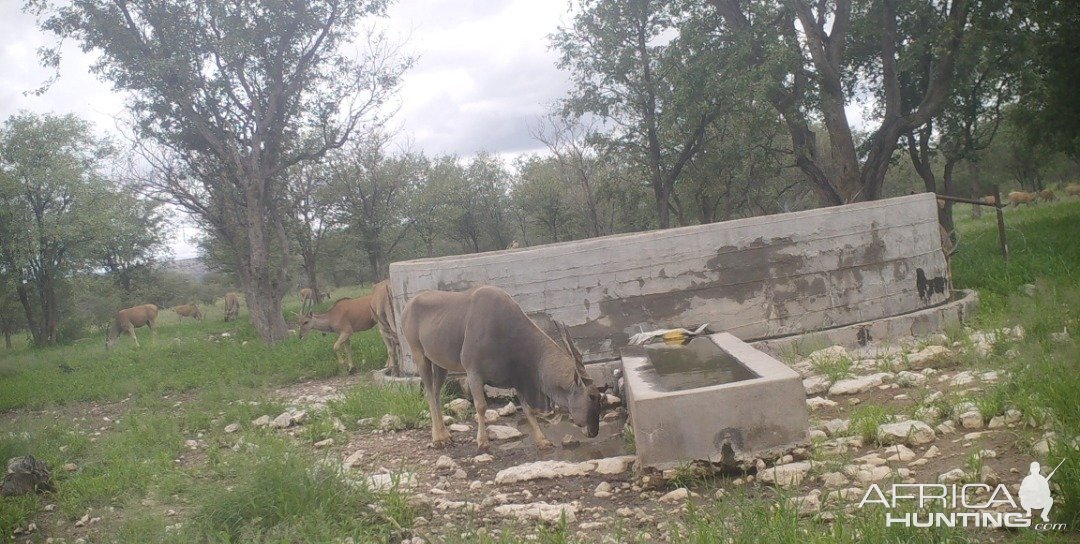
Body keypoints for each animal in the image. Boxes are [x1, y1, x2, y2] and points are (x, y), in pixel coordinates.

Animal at [406, 287, 604, 453]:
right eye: (591, 397)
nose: (594, 431)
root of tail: (408, 305)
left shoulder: (519, 377)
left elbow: (528, 409)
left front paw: (542, 441)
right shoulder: (473, 373)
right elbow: (481, 406)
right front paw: (482, 442)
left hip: (440, 365)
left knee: (436, 394)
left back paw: (444, 435)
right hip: (420, 356)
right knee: (429, 393)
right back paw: (439, 439)